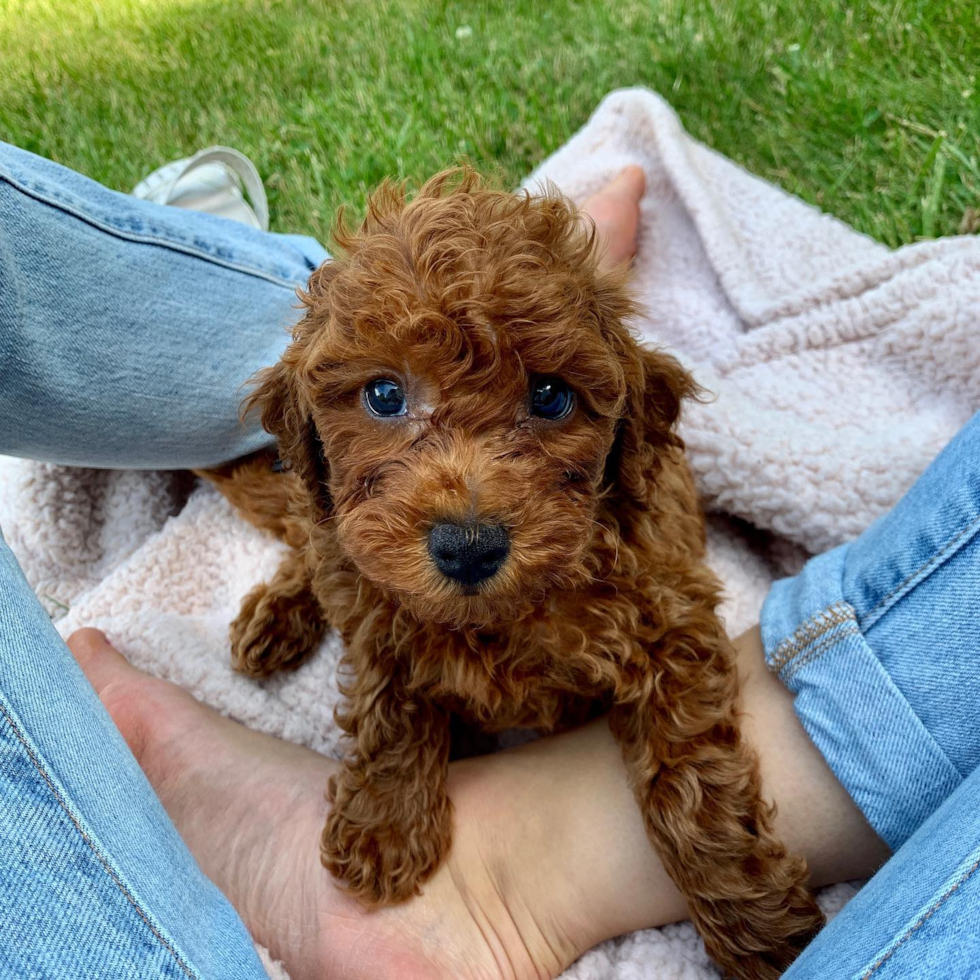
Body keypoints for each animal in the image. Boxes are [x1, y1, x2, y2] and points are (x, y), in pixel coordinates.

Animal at [205, 170, 820, 980]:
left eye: (551, 396)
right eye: (385, 395)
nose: (468, 547)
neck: (500, 614)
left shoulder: (669, 620)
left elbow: (694, 786)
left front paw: (757, 923)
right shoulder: (376, 606)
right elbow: (389, 699)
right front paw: (385, 824)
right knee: (312, 540)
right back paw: (277, 615)